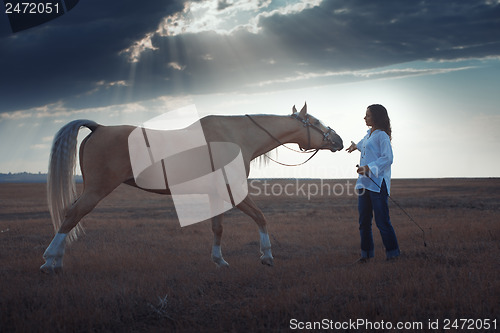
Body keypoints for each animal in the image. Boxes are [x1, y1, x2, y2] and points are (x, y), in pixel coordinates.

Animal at [40, 103, 344, 272]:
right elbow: (260, 218)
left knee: (71, 214)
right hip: (96, 190)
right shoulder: (233, 191)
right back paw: (50, 260)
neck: (236, 137)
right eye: (315, 122)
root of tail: (98, 127)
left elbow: (217, 228)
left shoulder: (216, 193)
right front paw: (267, 256)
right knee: (71, 215)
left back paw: (57, 260)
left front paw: (219, 260)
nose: (339, 140)